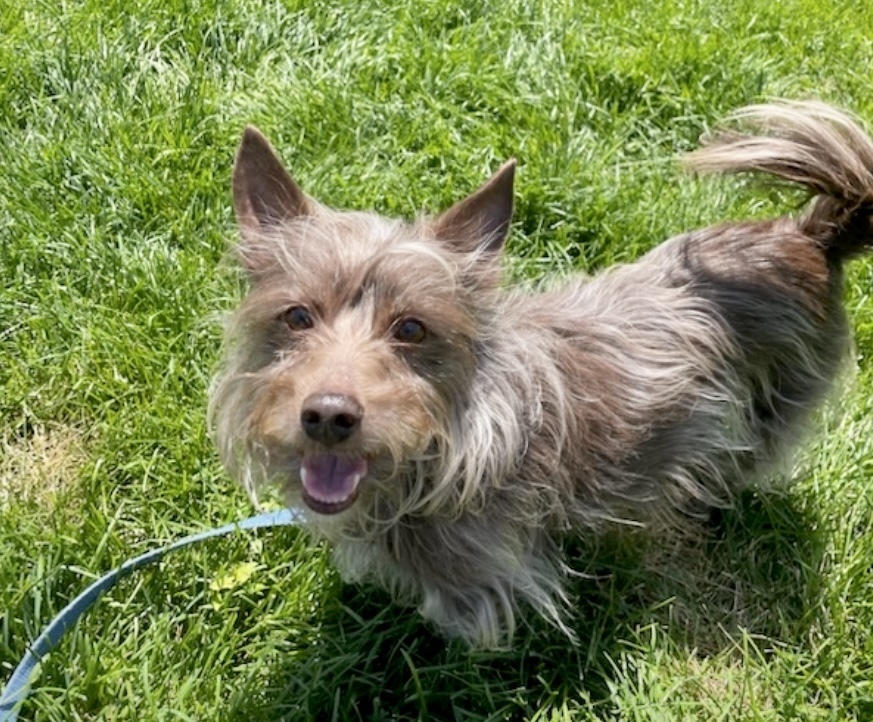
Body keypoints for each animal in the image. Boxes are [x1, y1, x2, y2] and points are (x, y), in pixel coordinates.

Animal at [209, 101, 872, 648]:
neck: (439, 456)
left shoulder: (481, 577)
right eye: (297, 316)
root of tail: (808, 238)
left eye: (412, 329)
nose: (328, 416)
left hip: (768, 410)